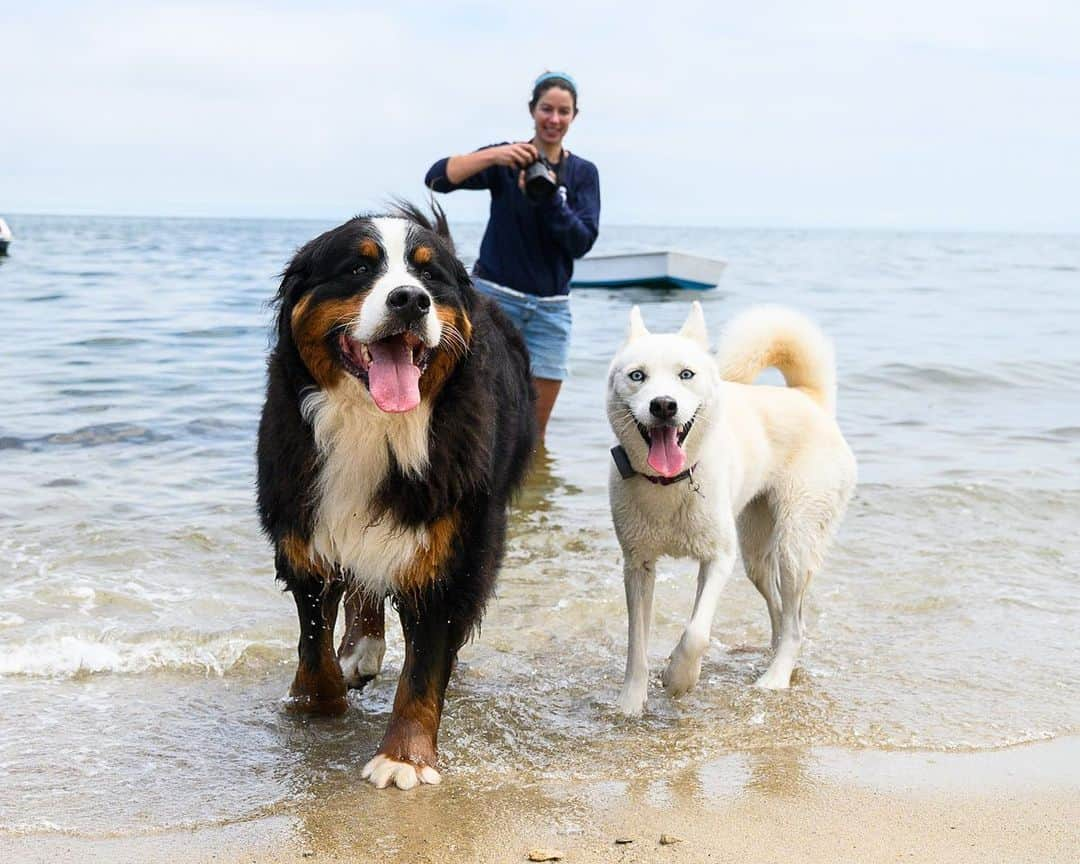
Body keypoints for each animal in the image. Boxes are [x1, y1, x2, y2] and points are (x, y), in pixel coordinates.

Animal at [609, 300, 851, 712]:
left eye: (686, 374)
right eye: (637, 376)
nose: (663, 405)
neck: (669, 483)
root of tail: (808, 397)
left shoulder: (719, 558)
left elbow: (696, 632)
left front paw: (679, 678)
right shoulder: (637, 566)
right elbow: (636, 643)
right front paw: (630, 702)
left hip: (793, 547)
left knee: (796, 624)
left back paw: (775, 678)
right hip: (756, 554)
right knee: (780, 611)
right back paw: (772, 657)